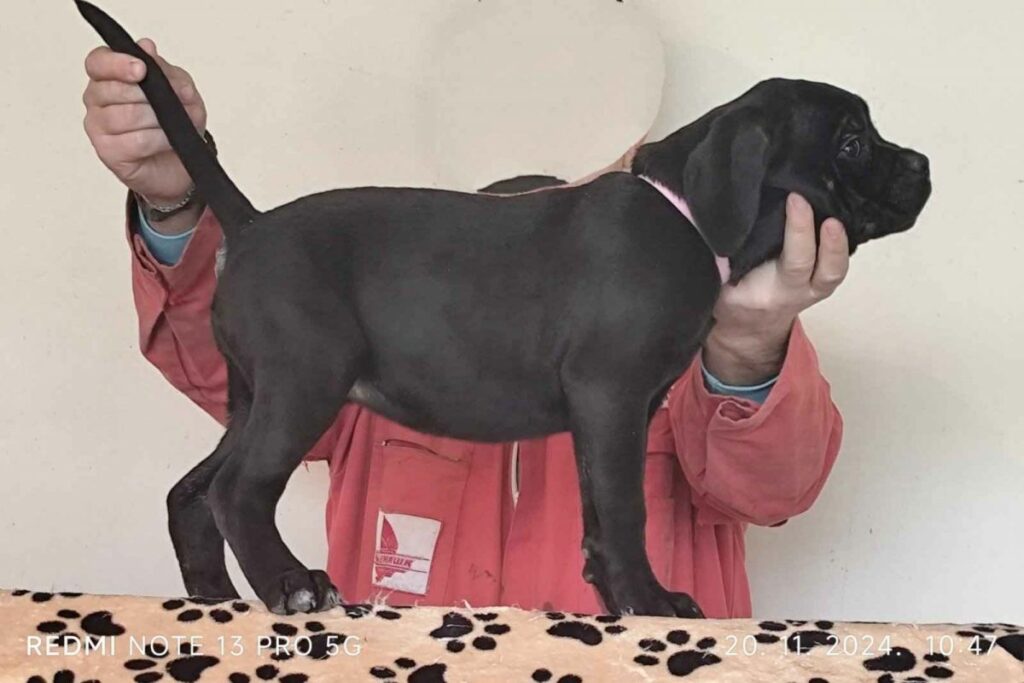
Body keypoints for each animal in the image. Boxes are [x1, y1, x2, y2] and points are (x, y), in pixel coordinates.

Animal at [77, 1, 931, 617]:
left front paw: (619, 599)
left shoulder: (610, 411)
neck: (688, 212)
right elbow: (625, 510)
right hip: (304, 382)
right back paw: (291, 585)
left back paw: (215, 598)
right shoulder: (611, 393)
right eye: (852, 142)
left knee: (192, 493)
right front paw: (652, 601)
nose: (924, 165)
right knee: (236, 490)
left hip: (257, 395)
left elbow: (600, 517)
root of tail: (248, 225)